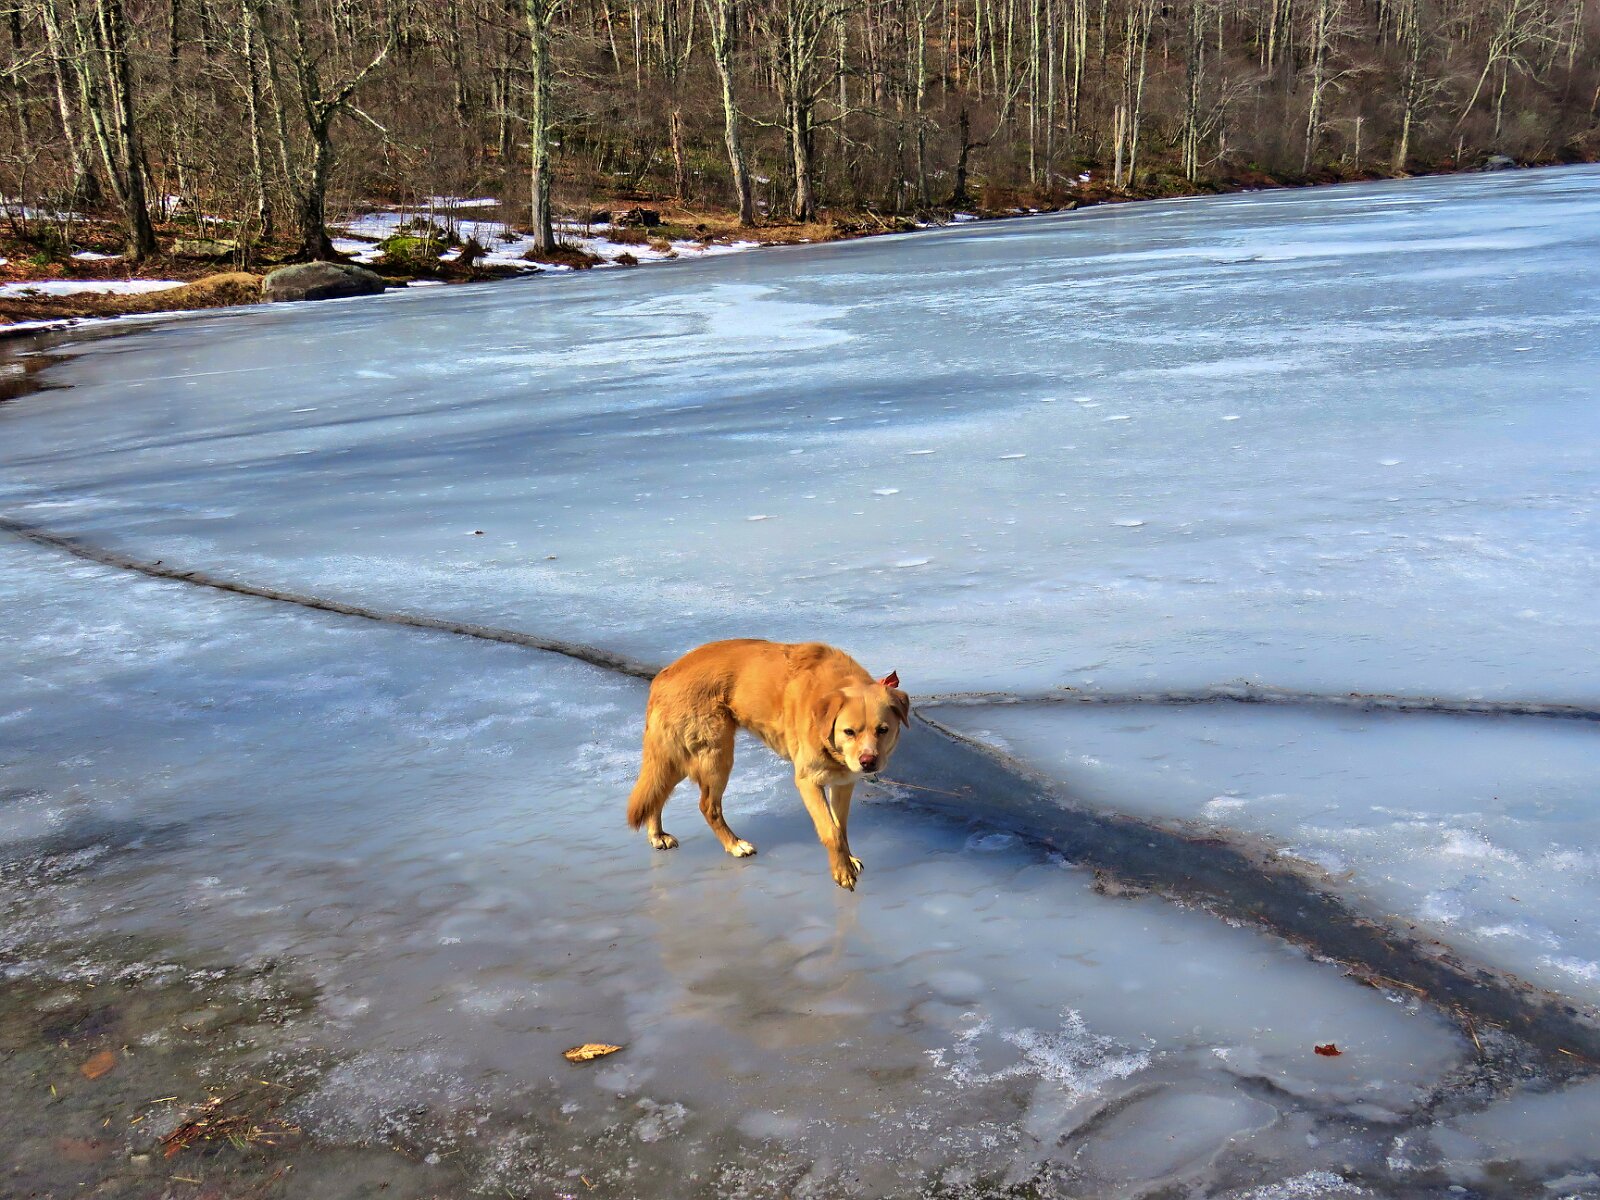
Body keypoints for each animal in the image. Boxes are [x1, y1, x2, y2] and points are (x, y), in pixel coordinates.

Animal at [626, 640, 911, 890]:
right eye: (849, 732)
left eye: (883, 730)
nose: (868, 762)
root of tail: (663, 677)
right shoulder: (808, 781)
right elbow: (830, 830)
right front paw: (842, 872)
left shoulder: (843, 783)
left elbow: (840, 827)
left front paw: (848, 861)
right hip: (716, 756)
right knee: (707, 806)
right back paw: (734, 845)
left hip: (678, 755)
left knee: (657, 793)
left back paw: (657, 835)